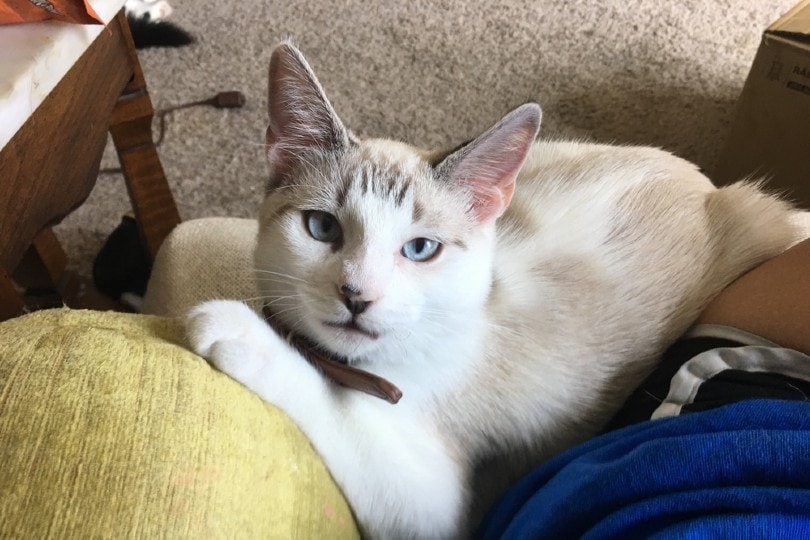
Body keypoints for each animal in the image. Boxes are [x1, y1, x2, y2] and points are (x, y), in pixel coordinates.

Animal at [185, 40, 808, 536]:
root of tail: (709, 186)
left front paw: (244, 333)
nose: (357, 295)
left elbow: (351, 422)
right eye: (322, 228)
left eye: (421, 249)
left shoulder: (436, 505)